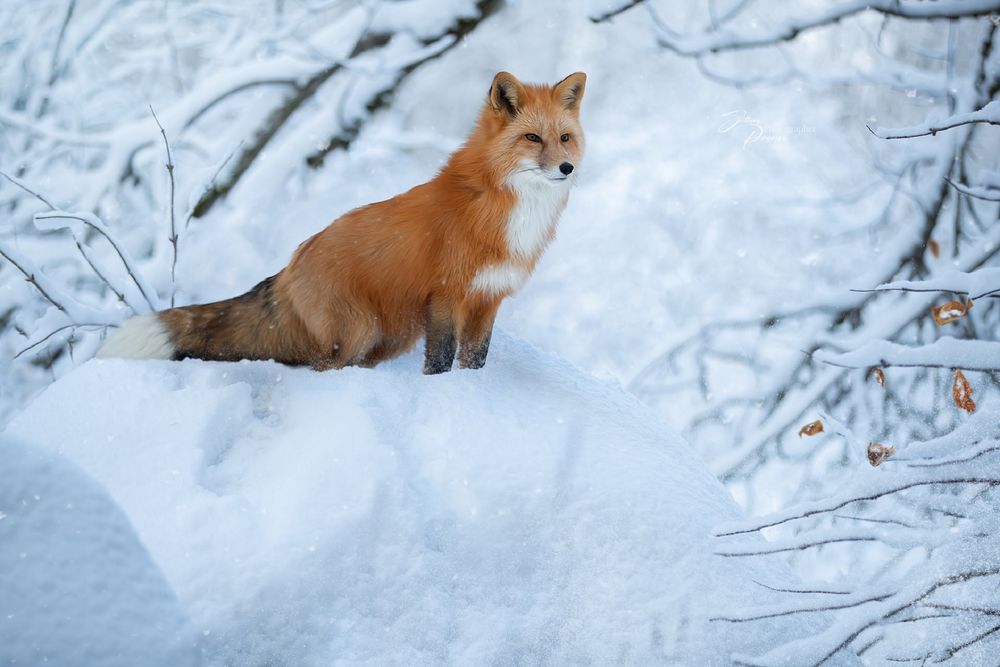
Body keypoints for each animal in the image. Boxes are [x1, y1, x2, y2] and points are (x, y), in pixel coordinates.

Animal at [98, 70, 586, 374]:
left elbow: (474, 359)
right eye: (532, 137)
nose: (567, 168)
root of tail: (287, 268)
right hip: (359, 332)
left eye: (565, 138)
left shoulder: (488, 298)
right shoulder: (447, 295)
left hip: (390, 337)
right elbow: (440, 361)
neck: (502, 204)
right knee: (320, 367)